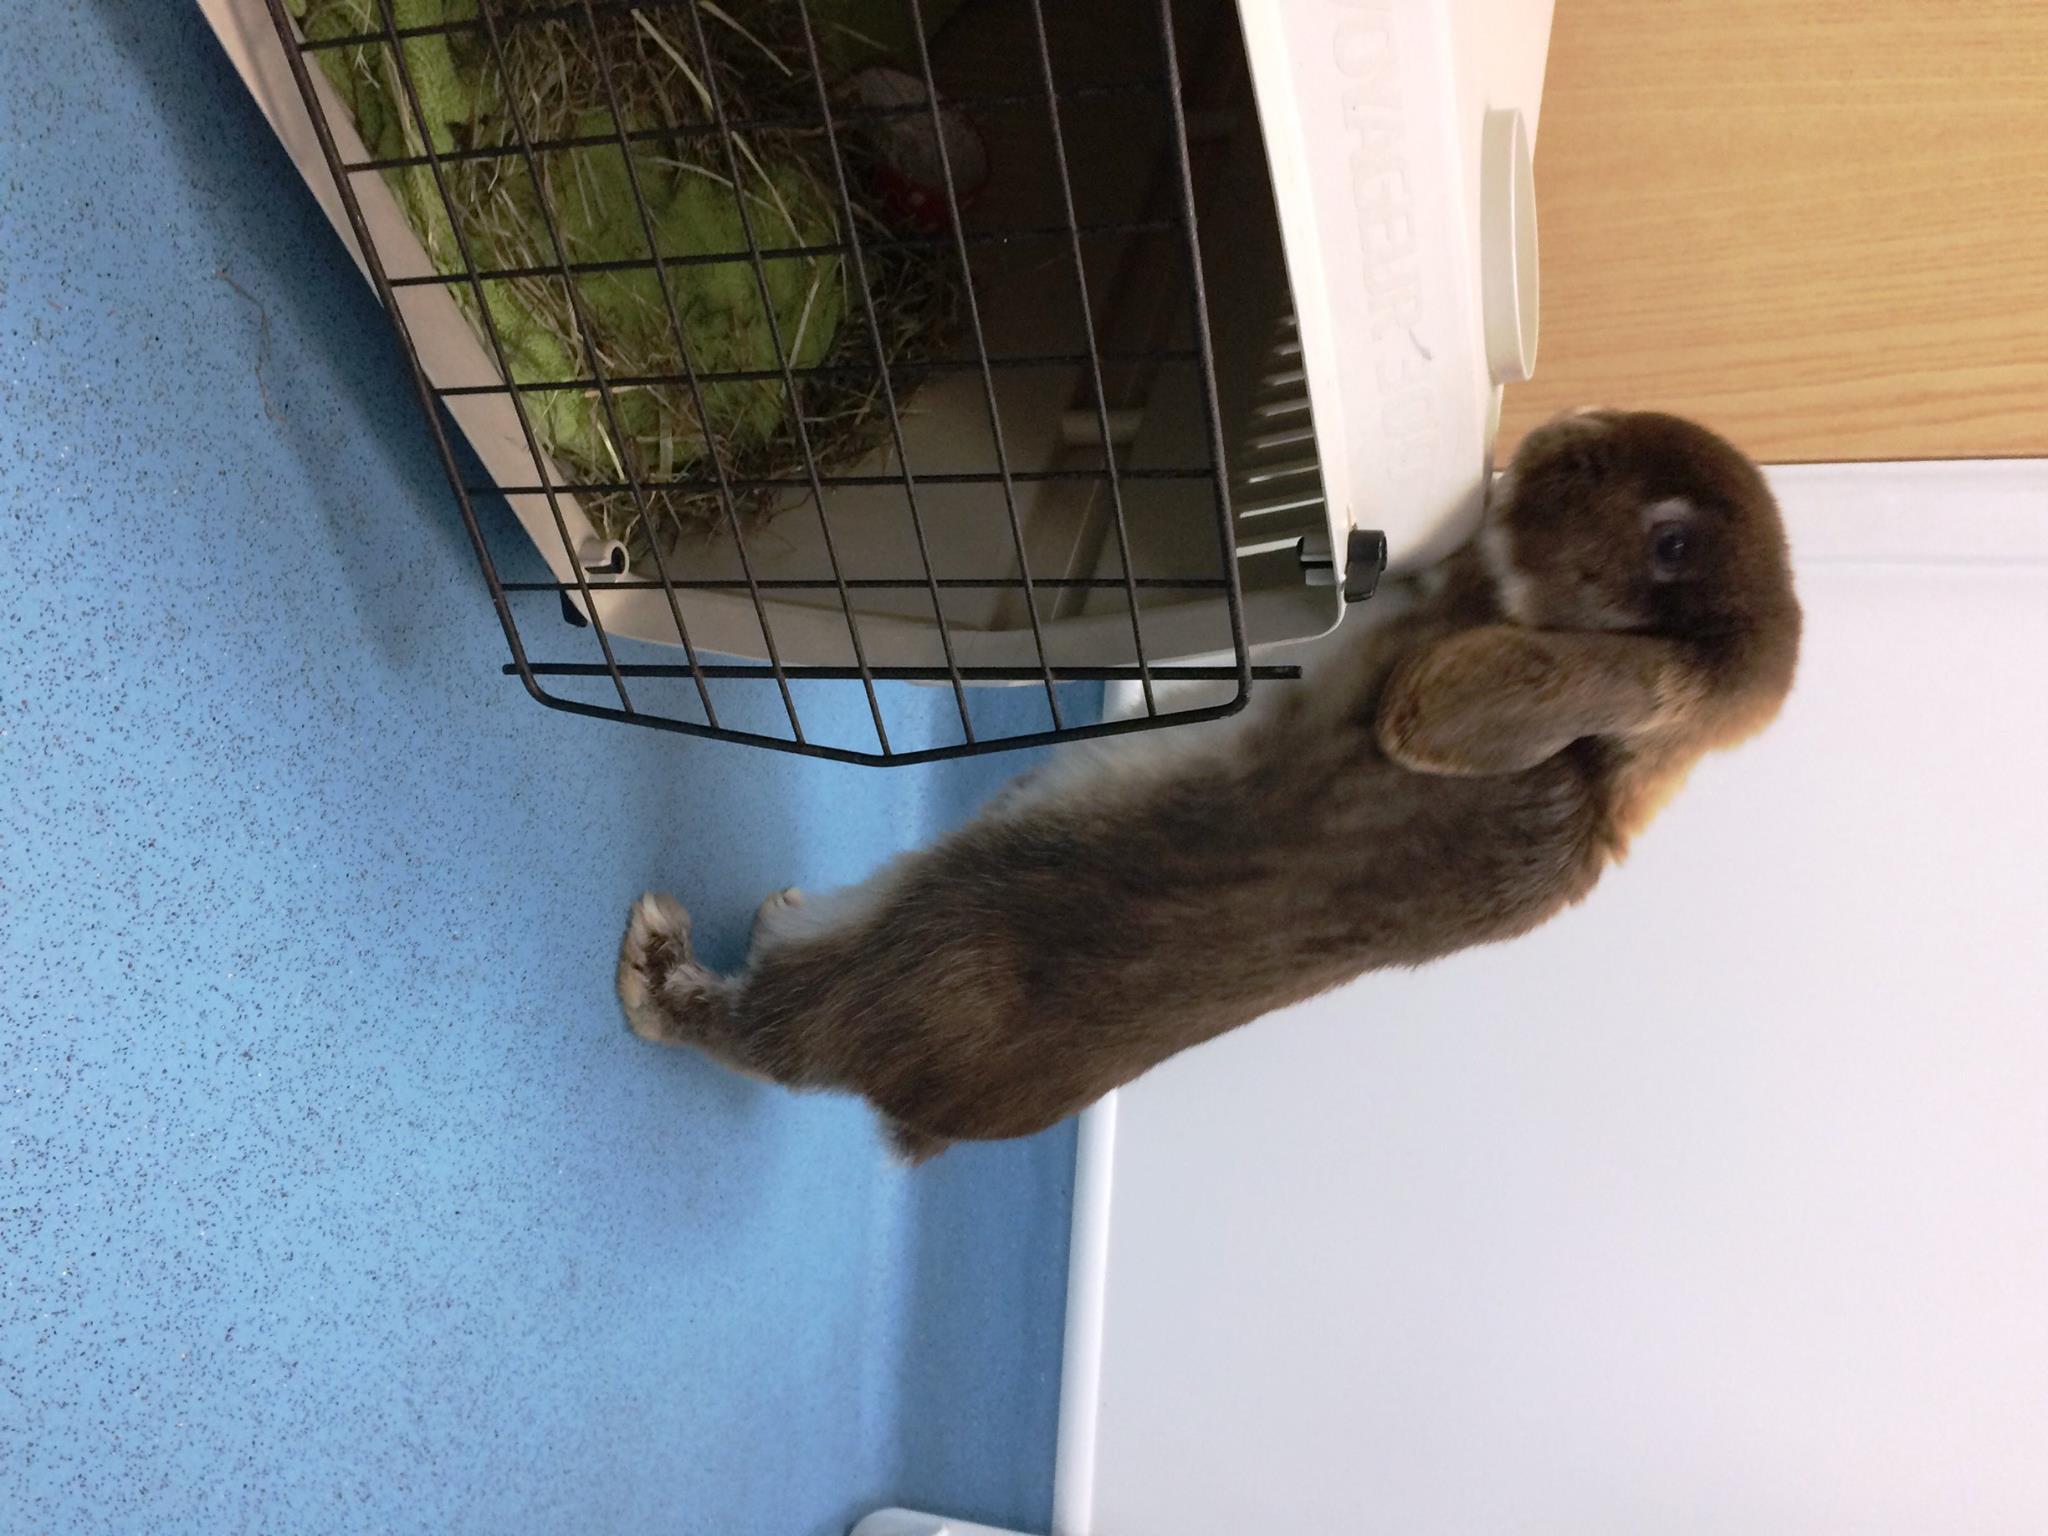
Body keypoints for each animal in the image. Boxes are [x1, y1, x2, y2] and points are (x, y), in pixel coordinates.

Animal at [617, 409, 1802, 1161]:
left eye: (1671, 541)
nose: (1562, 430)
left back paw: (656, 961)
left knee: (764, 1029)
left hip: (914, 942)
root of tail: (922, 1114)